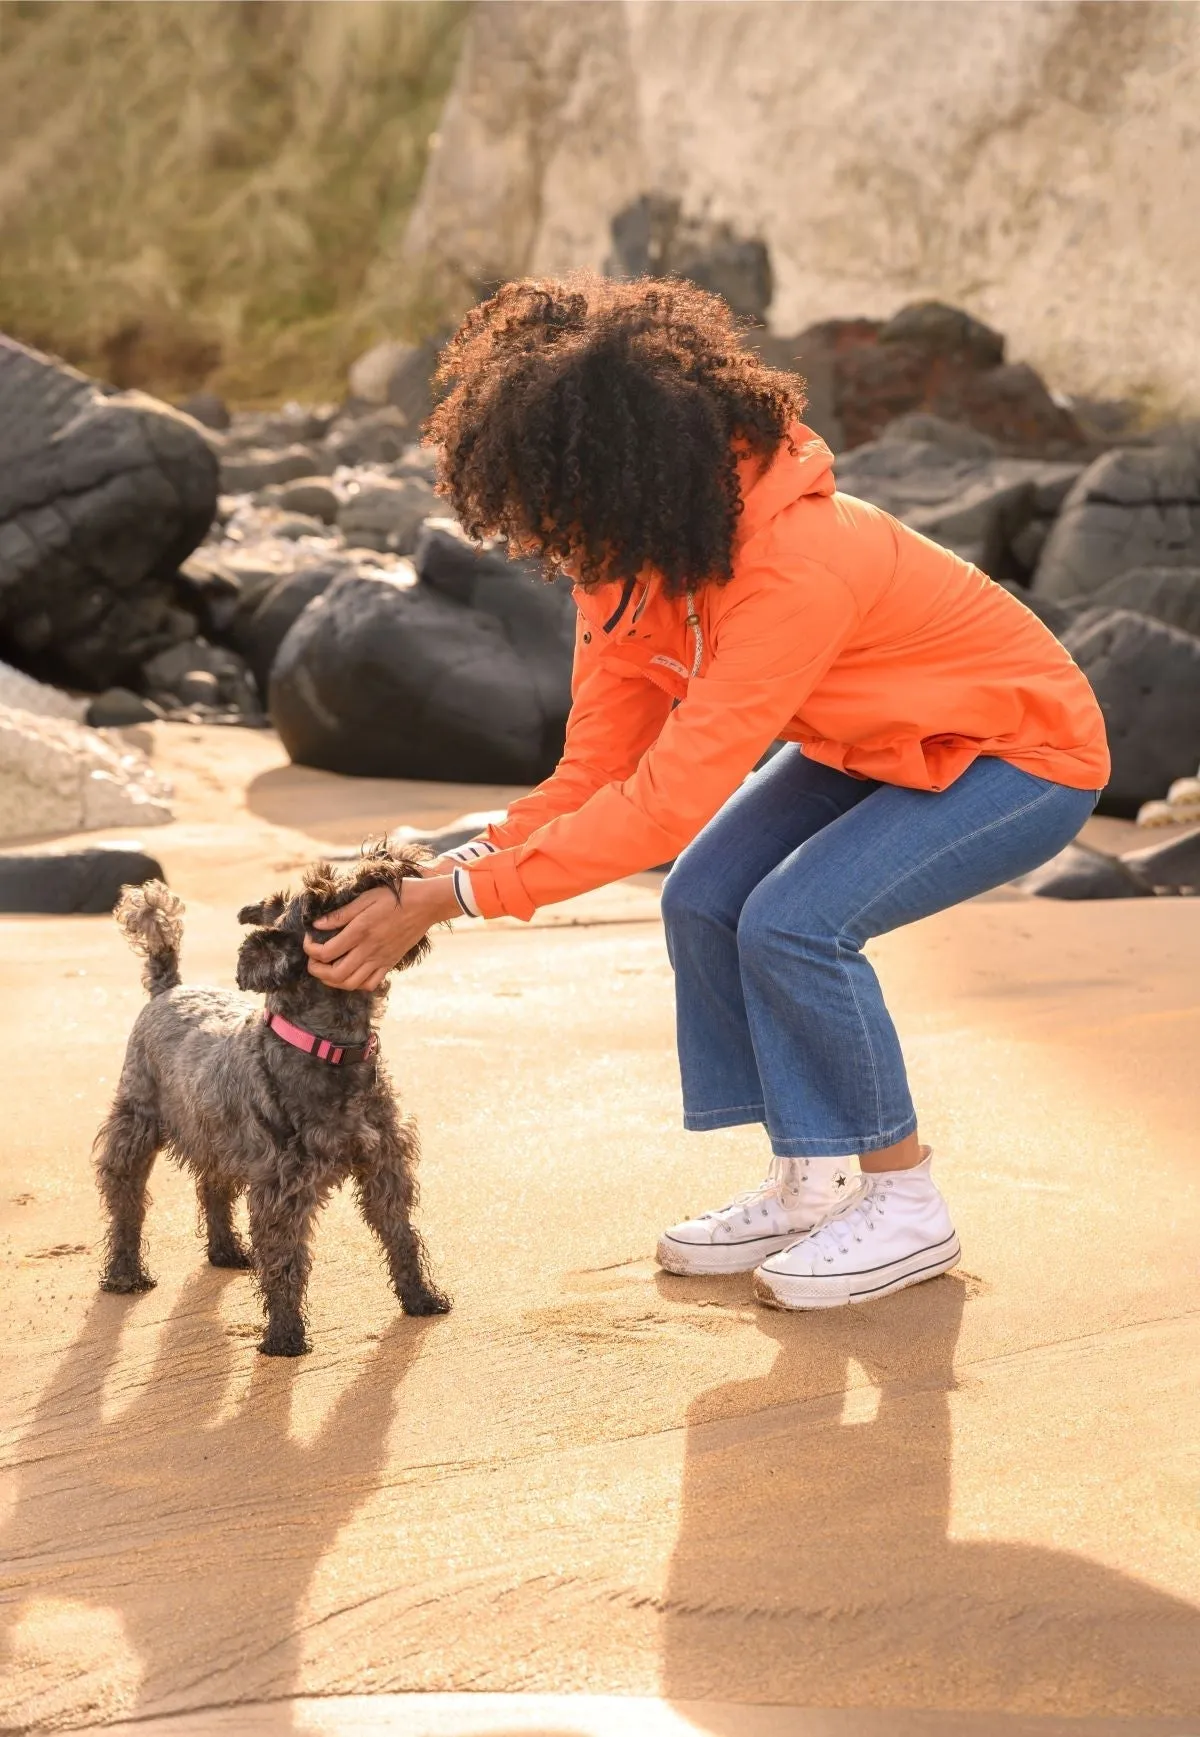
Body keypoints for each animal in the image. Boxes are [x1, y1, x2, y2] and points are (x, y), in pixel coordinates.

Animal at [93, 840, 451, 1354]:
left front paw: (421, 1298)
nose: (384, 856)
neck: (331, 1047)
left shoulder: (385, 1164)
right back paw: (125, 1273)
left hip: (215, 1133)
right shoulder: (283, 1187)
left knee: (212, 1185)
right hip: (135, 1123)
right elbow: (285, 1260)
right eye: (321, 900)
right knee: (125, 1197)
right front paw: (284, 1336)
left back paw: (225, 1251)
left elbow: (401, 1235)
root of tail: (169, 987)